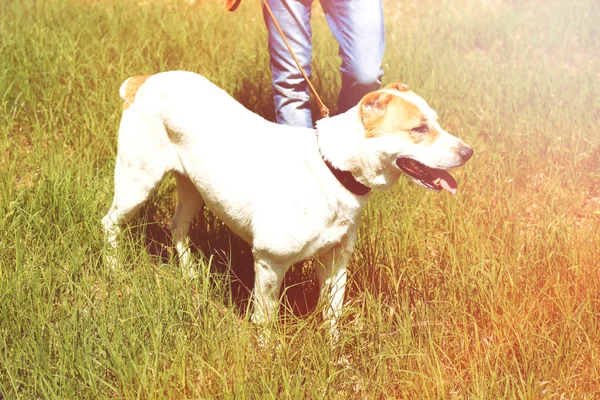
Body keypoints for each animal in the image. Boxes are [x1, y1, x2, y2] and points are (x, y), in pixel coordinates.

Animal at [102, 71, 474, 334]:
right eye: (420, 128)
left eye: (435, 122)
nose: (469, 152)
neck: (332, 169)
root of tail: (144, 81)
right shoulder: (269, 262)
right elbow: (266, 321)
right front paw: (268, 359)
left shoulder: (336, 261)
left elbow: (332, 318)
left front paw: (335, 361)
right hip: (138, 182)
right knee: (110, 223)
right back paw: (115, 271)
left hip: (194, 188)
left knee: (177, 227)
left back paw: (191, 274)